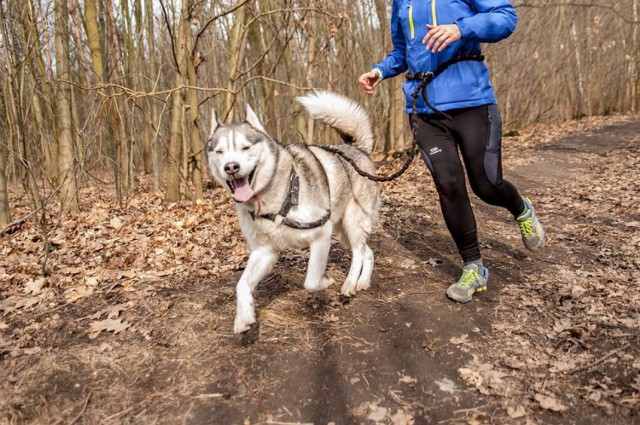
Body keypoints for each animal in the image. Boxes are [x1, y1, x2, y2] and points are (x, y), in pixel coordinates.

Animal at [206, 91, 380, 332]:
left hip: (352, 222)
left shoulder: (321, 235)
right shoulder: (264, 252)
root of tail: (358, 149)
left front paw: (326, 281)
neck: (273, 202)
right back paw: (363, 281)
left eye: (245, 148)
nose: (231, 167)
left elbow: (311, 281)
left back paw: (351, 282)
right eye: (220, 151)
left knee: (358, 253)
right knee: (367, 251)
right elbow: (241, 284)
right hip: (342, 230)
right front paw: (244, 316)